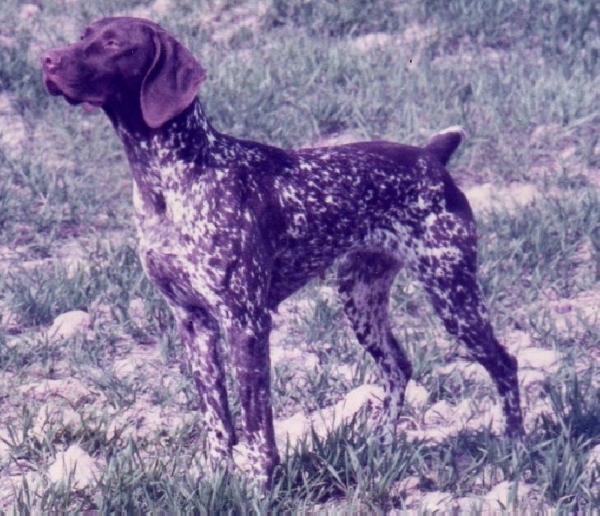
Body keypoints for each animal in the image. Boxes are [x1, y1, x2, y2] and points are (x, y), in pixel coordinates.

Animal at [39, 16, 524, 484]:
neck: (171, 177)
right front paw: (214, 481)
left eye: (113, 44)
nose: (46, 59)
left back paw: (515, 446)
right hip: (360, 298)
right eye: (83, 34)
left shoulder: (246, 322)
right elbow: (217, 420)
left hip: (453, 295)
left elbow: (256, 426)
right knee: (398, 367)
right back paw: (382, 445)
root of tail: (430, 157)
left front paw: (258, 485)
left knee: (504, 363)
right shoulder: (193, 322)